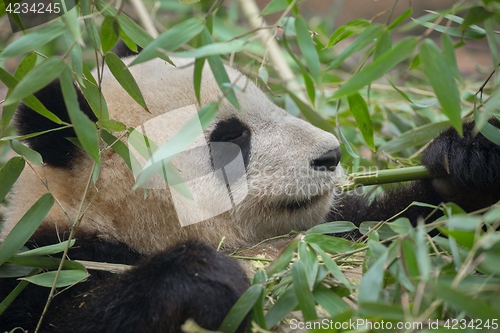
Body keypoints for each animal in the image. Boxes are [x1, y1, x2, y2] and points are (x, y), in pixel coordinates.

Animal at [0, 46, 500, 332]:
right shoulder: (45, 260)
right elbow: (58, 317)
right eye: (230, 137)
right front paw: (205, 279)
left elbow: (405, 228)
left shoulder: (332, 233)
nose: (331, 154)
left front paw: (469, 159)